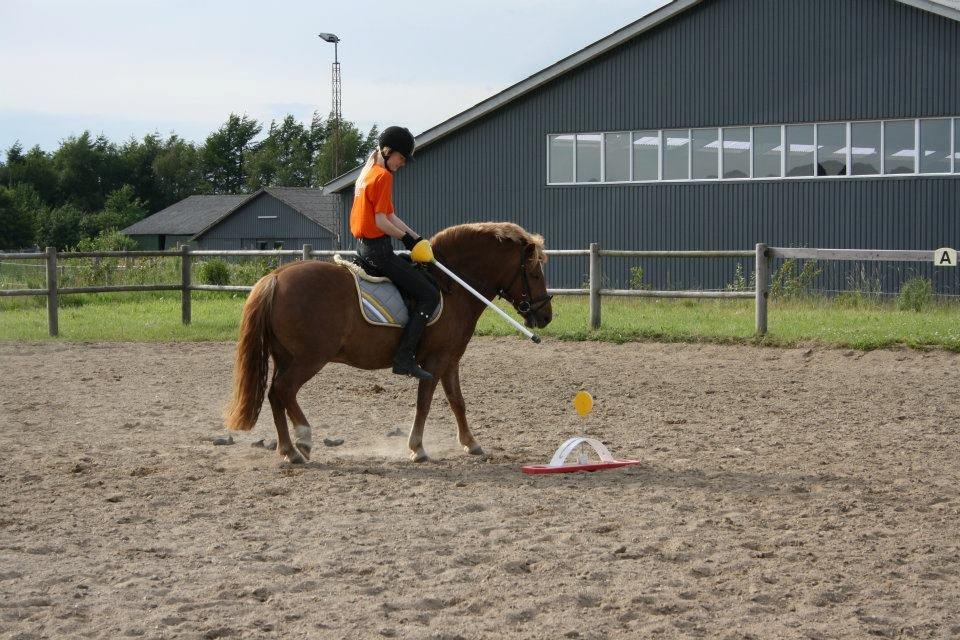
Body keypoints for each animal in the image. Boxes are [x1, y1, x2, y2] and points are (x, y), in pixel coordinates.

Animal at [224, 222, 552, 462]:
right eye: (535, 273)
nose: (546, 316)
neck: (453, 285)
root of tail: (276, 277)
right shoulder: (434, 361)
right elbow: (424, 402)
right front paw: (417, 447)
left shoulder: (450, 360)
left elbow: (457, 402)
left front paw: (471, 443)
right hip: (309, 358)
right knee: (284, 390)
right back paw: (302, 439)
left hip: (285, 355)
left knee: (275, 395)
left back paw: (288, 449)